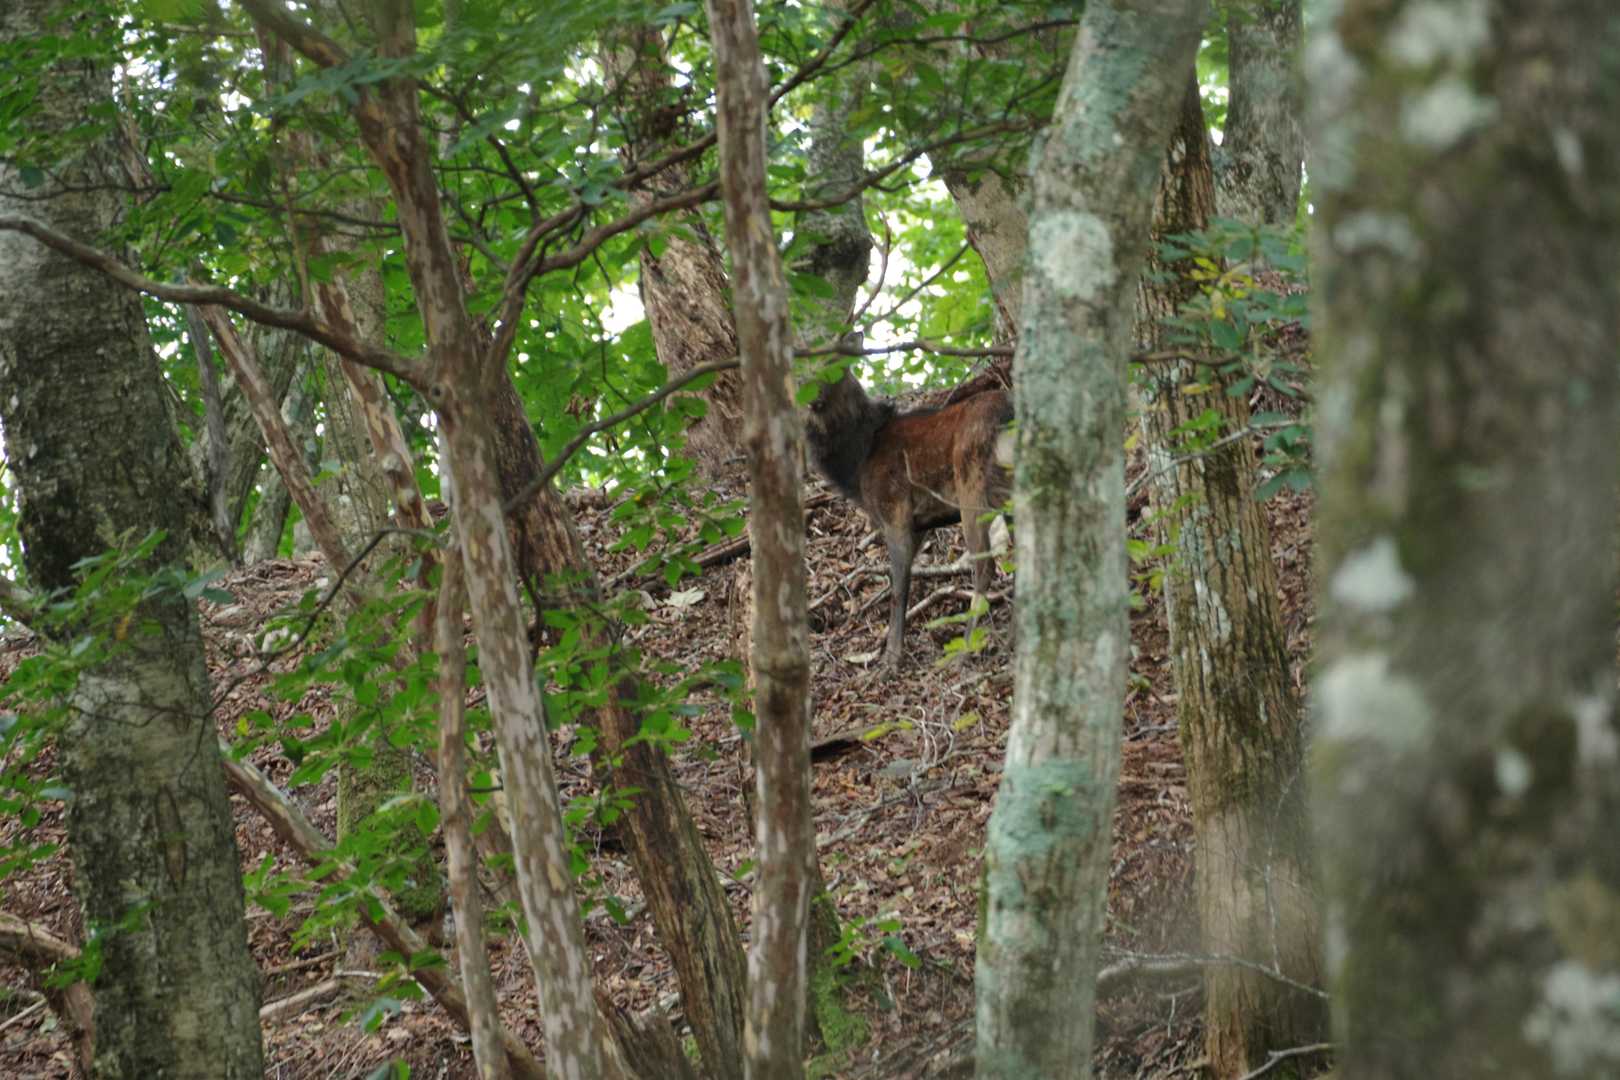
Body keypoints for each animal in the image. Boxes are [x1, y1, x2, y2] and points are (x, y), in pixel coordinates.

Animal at [803, 358, 1013, 669]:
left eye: (835, 365)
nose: (811, 395)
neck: (857, 463)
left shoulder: (894, 508)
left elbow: (898, 587)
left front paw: (891, 658)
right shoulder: (922, 522)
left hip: (972, 486)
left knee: (985, 565)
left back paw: (964, 650)